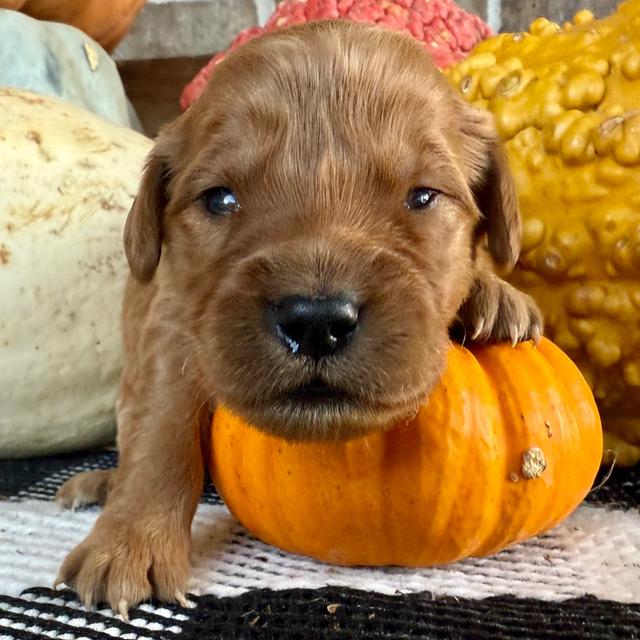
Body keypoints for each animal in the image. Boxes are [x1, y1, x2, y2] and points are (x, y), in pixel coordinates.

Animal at [56, 20, 540, 616]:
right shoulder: (170, 324)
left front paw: (493, 297)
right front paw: (128, 544)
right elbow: (161, 429)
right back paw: (100, 484)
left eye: (423, 196)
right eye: (220, 199)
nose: (316, 321)